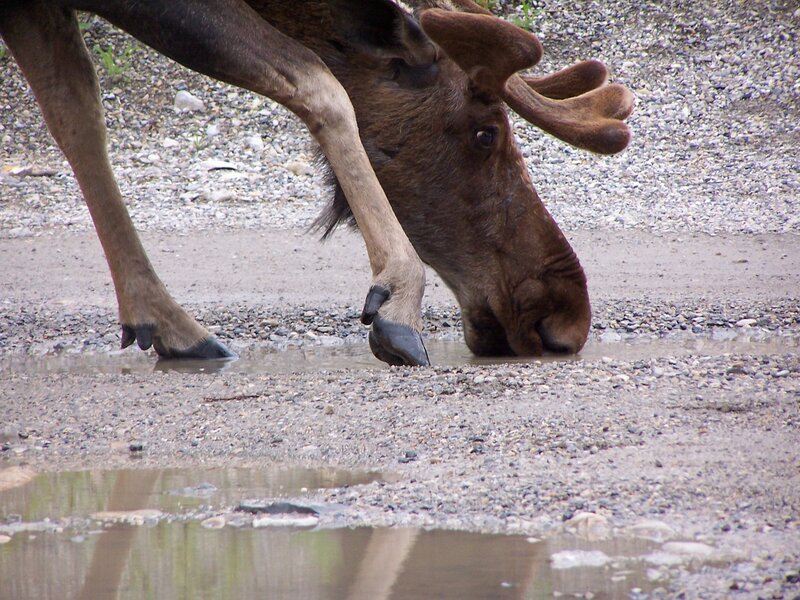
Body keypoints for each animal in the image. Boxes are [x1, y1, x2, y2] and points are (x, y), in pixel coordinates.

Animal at [0, 0, 633, 367]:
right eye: (485, 133)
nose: (567, 315)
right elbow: (315, 79)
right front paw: (398, 297)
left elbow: (74, 110)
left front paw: (160, 316)